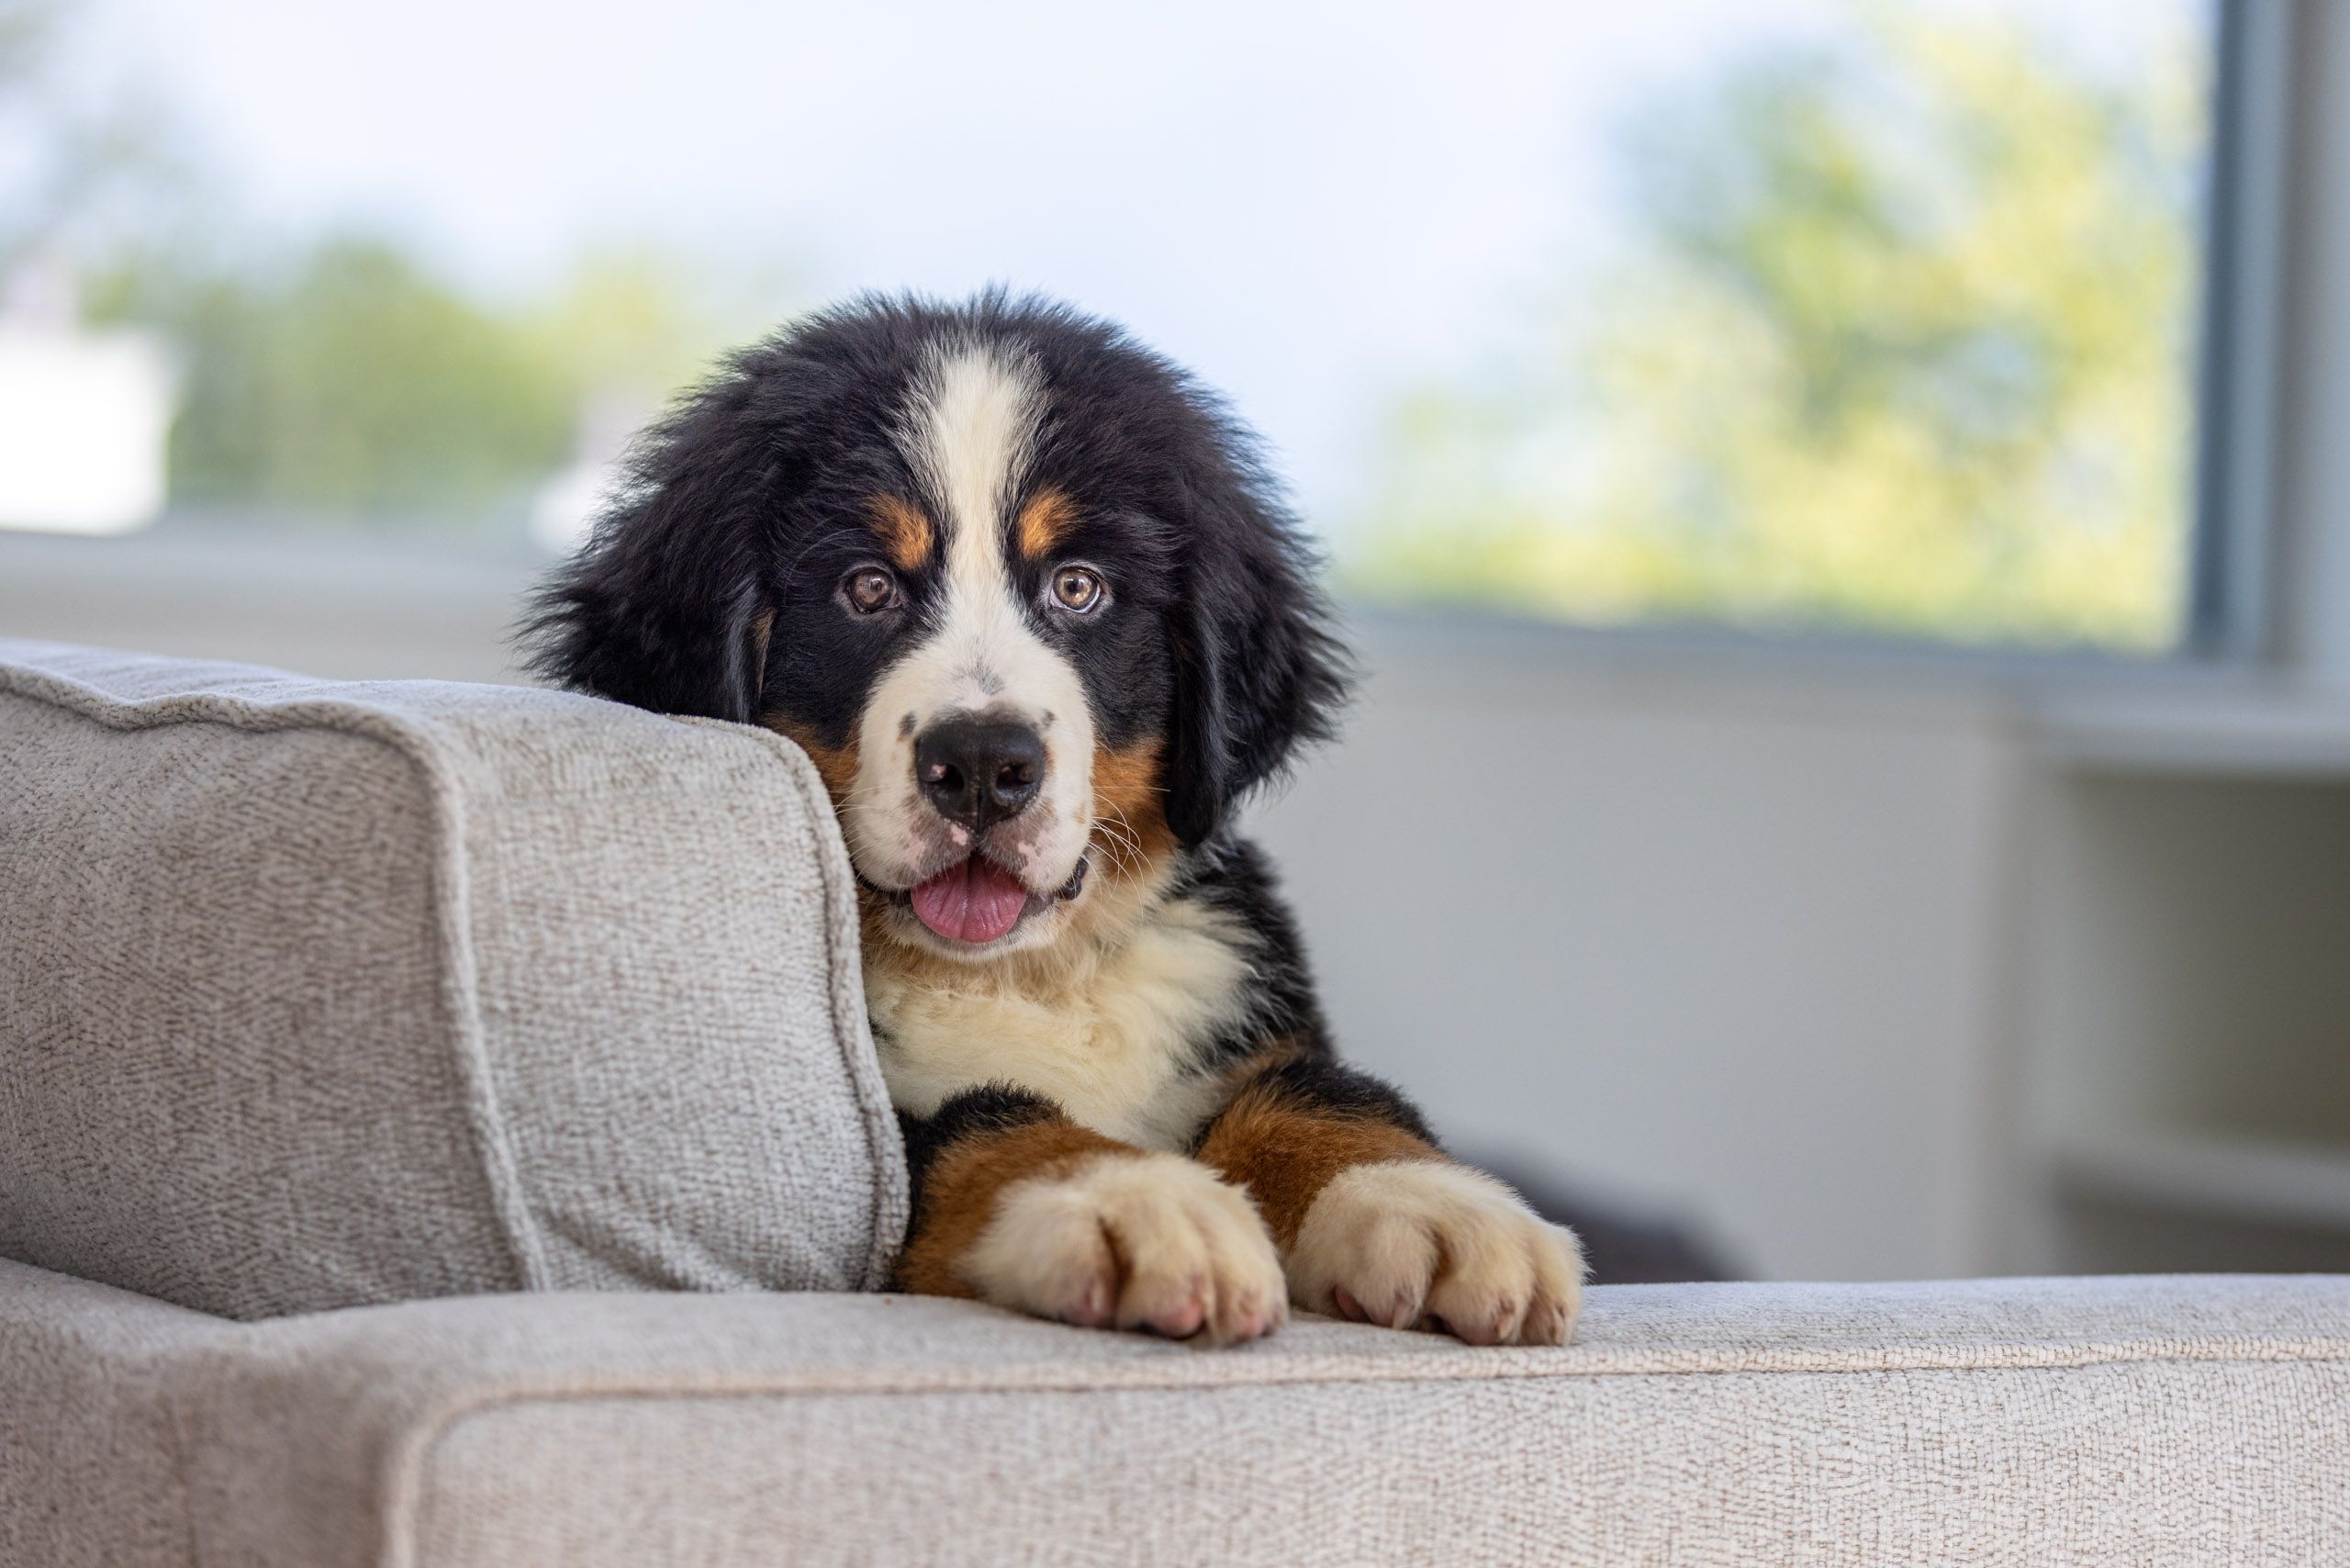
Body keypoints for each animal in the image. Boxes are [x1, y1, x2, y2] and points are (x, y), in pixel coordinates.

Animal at [533, 294, 1588, 1353]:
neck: (1027, 980)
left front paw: (1426, 1201)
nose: (982, 768)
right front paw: (1128, 1196)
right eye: (868, 587)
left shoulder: (1248, 1006)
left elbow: (1321, 1090)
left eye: (1077, 586)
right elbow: (978, 1119)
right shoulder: (849, 1153)